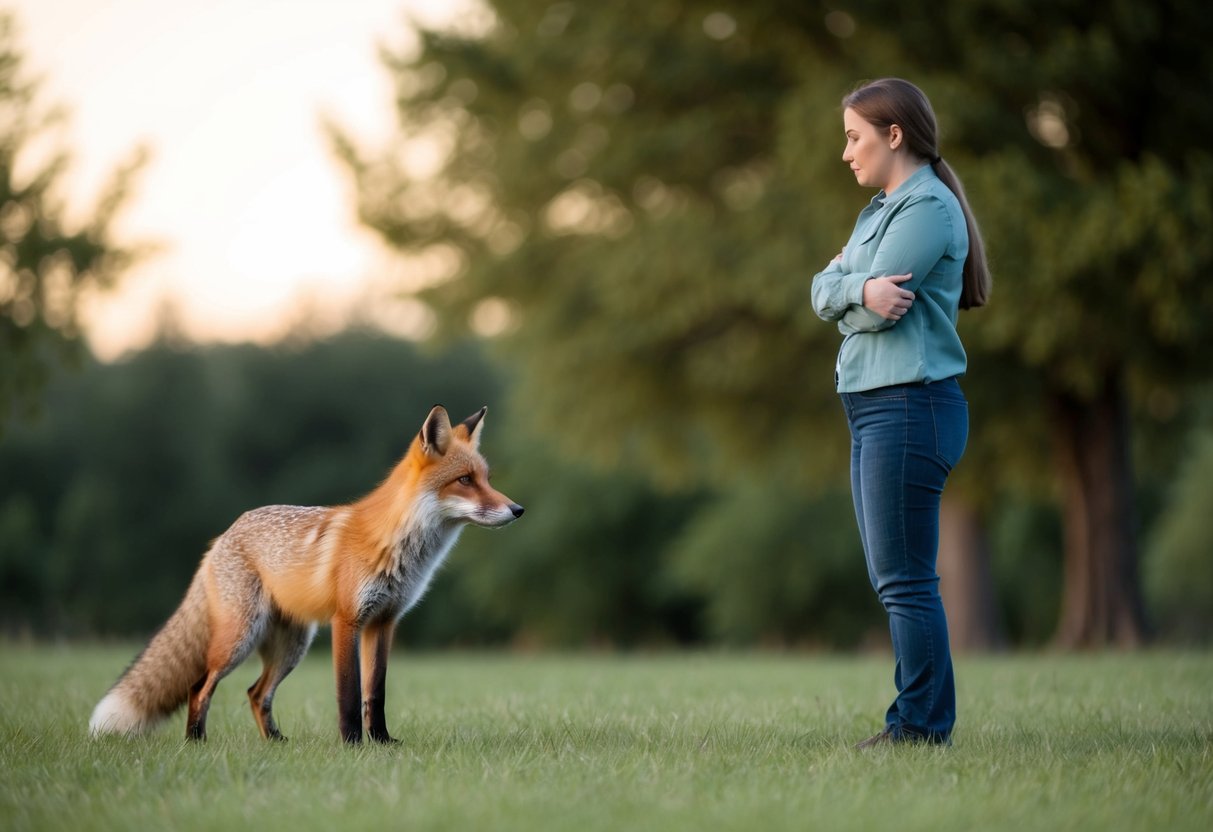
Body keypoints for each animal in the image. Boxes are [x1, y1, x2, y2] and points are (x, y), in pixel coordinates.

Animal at [89, 405, 523, 744]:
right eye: (465, 481)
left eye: (486, 479)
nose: (517, 509)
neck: (401, 547)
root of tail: (224, 534)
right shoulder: (347, 620)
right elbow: (349, 694)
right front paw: (353, 745)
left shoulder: (384, 622)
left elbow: (375, 692)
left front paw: (382, 742)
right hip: (239, 639)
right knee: (200, 686)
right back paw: (196, 741)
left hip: (292, 646)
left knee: (255, 693)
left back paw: (276, 743)